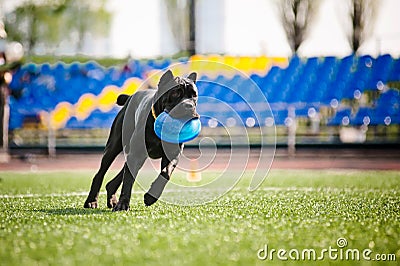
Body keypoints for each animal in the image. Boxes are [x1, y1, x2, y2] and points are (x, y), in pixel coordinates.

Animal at [83, 69, 199, 211]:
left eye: (194, 95)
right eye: (176, 93)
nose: (189, 105)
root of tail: (130, 97)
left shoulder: (172, 155)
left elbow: (165, 174)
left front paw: (151, 197)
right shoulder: (135, 154)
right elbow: (128, 182)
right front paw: (123, 205)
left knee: (119, 175)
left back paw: (112, 199)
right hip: (114, 147)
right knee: (100, 174)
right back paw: (91, 201)